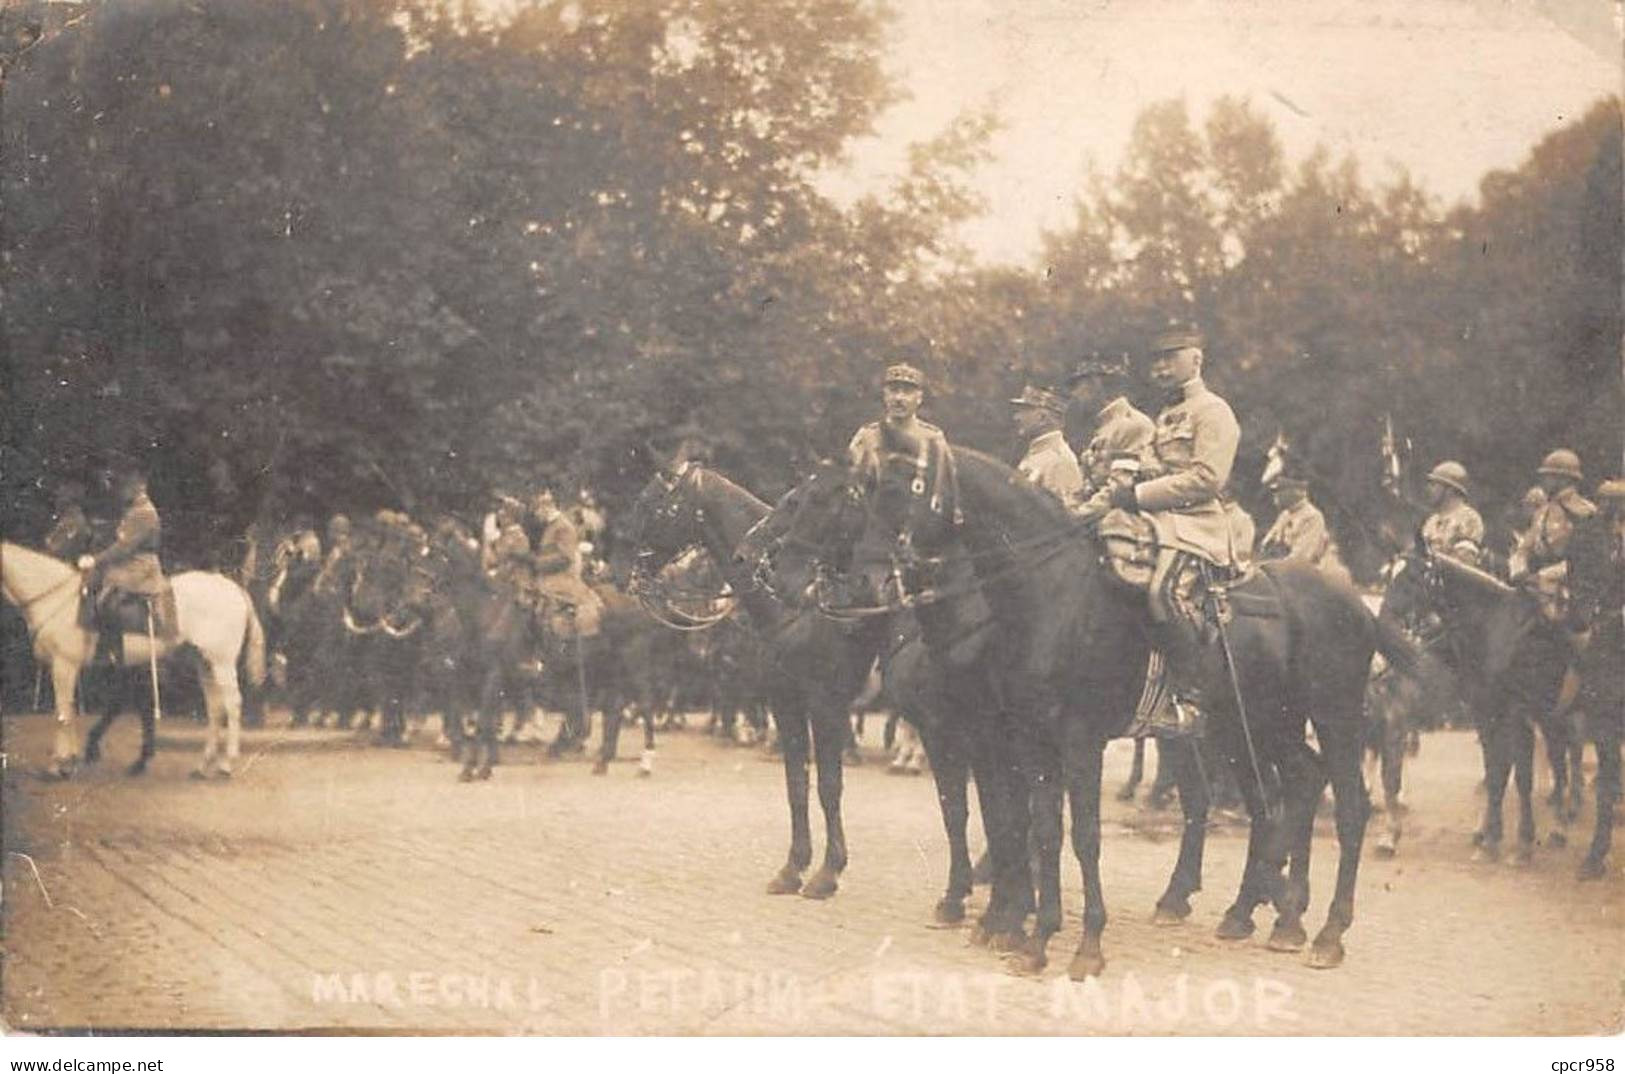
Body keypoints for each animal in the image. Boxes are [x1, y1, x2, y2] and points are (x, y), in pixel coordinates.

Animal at [1, 539, 266, 773]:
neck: (56, 598)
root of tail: (233, 587)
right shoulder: (70, 668)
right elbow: (70, 711)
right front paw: (71, 759)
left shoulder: (64, 665)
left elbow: (63, 714)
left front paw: (60, 764)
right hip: (204, 662)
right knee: (214, 707)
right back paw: (203, 765)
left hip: (222, 662)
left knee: (232, 704)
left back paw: (227, 764)